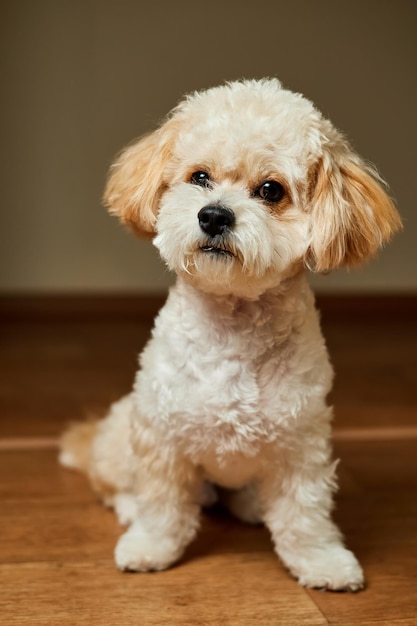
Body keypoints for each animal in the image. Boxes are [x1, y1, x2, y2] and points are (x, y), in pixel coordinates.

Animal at [58, 75, 400, 588]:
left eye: (271, 190)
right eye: (200, 177)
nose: (214, 215)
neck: (233, 329)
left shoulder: (301, 448)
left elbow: (305, 515)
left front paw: (322, 561)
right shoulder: (161, 438)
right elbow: (161, 504)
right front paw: (150, 546)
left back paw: (253, 505)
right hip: (122, 432)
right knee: (114, 483)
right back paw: (131, 506)